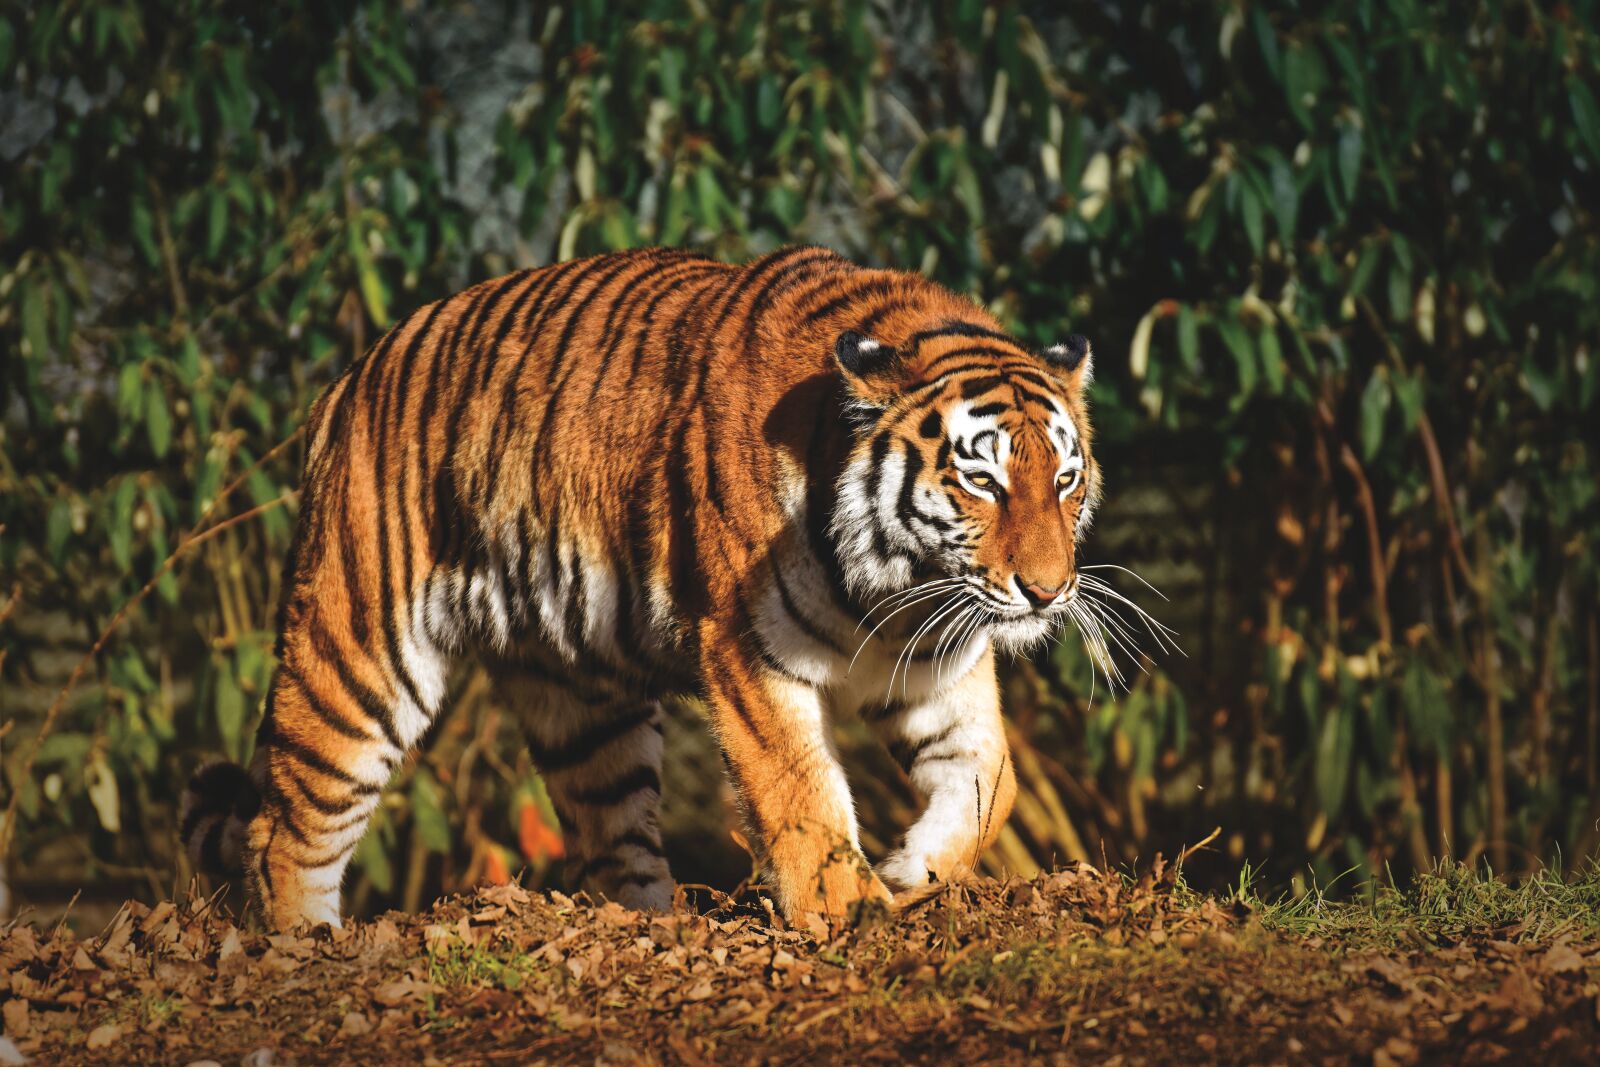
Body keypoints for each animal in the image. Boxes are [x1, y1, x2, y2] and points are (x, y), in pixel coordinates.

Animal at [180, 245, 1100, 931]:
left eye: (1063, 478)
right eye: (982, 480)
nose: (1047, 591)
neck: (899, 590)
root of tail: (347, 382)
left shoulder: (937, 658)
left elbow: (991, 778)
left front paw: (914, 872)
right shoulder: (750, 651)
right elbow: (801, 792)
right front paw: (854, 912)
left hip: (584, 703)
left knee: (613, 838)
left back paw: (655, 923)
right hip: (358, 656)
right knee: (282, 829)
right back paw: (310, 945)